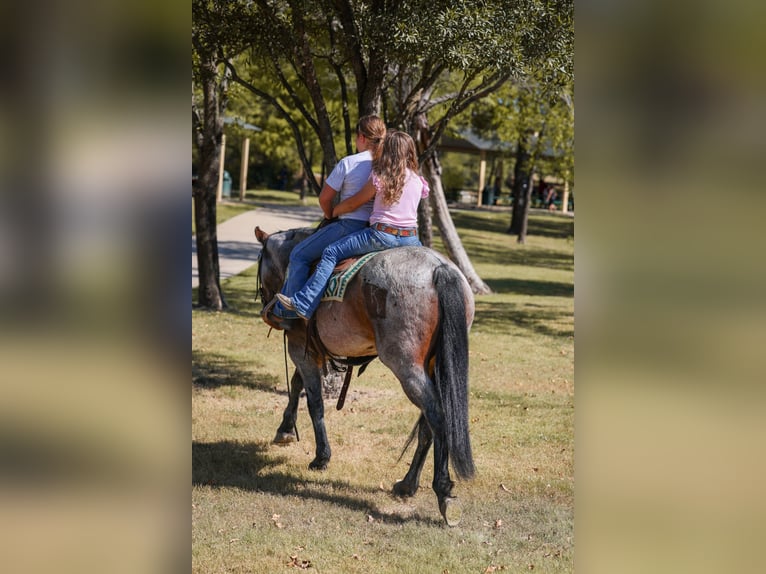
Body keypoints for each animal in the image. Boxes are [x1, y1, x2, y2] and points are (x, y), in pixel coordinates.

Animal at [254, 226, 475, 526]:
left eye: (259, 265)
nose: (268, 308)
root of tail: (438, 269)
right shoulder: (311, 349)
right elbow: (297, 384)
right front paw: (285, 429)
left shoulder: (300, 347)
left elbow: (314, 402)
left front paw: (321, 457)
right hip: (432, 365)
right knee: (428, 423)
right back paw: (408, 484)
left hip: (406, 366)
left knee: (437, 417)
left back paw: (443, 491)